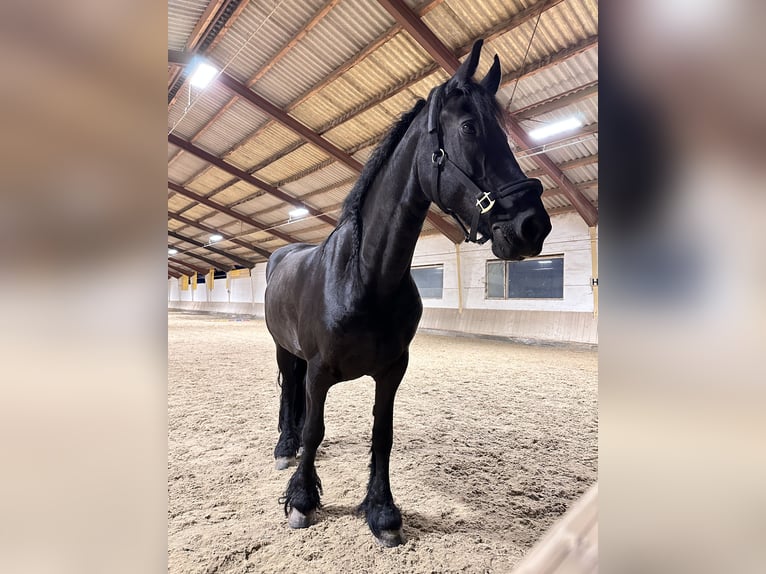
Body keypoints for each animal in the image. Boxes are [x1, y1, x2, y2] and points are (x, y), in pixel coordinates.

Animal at [264, 40, 552, 548]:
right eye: (470, 127)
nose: (532, 225)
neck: (365, 278)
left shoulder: (392, 370)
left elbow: (383, 434)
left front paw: (382, 512)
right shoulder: (318, 371)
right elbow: (315, 428)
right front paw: (301, 499)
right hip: (285, 350)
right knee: (289, 397)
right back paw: (285, 447)